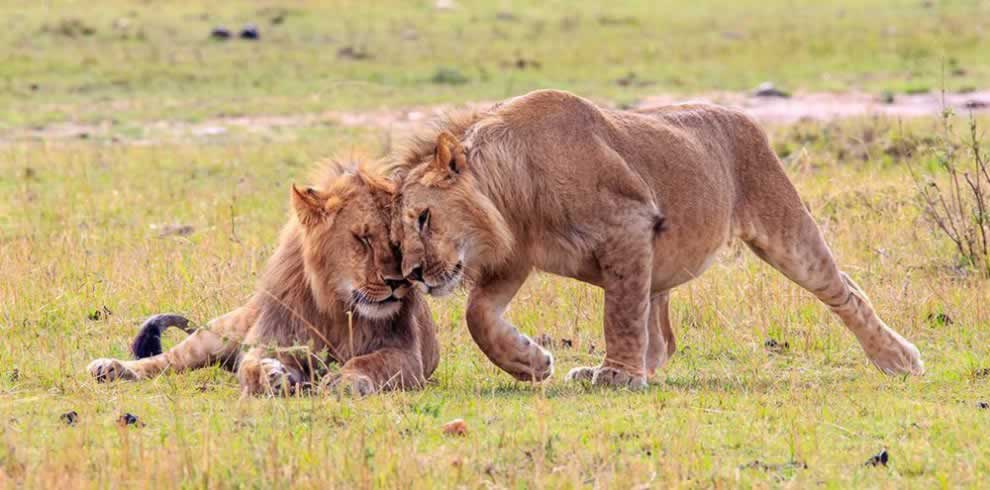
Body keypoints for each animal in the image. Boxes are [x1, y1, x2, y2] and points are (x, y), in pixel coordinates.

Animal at [86, 163, 438, 396]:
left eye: (398, 239)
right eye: (363, 239)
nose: (396, 282)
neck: (337, 307)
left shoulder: (407, 355)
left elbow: (369, 363)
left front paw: (344, 381)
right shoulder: (271, 338)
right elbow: (251, 365)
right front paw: (273, 375)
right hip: (217, 334)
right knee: (165, 361)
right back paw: (110, 368)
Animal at [392, 88, 928, 386]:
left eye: (424, 218)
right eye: (397, 237)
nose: (412, 274)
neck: (514, 193)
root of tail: (740, 116)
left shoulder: (628, 225)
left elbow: (619, 318)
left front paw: (617, 377)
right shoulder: (515, 258)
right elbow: (477, 316)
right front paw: (531, 364)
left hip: (784, 228)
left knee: (844, 290)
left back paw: (898, 359)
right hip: (661, 261)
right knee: (663, 339)